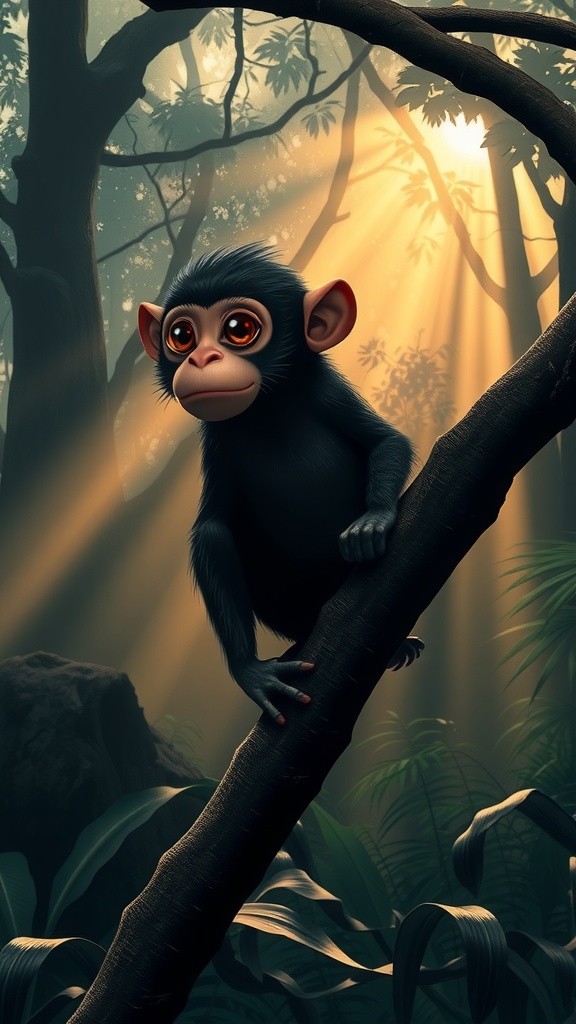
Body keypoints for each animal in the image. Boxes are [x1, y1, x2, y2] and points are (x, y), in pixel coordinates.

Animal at [138, 243, 422, 724]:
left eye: (239, 329)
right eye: (181, 335)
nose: (201, 358)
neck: (266, 408)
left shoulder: (325, 390)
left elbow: (386, 441)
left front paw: (373, 521)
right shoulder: (218, 439)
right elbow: (211, 530)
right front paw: (250, 671)